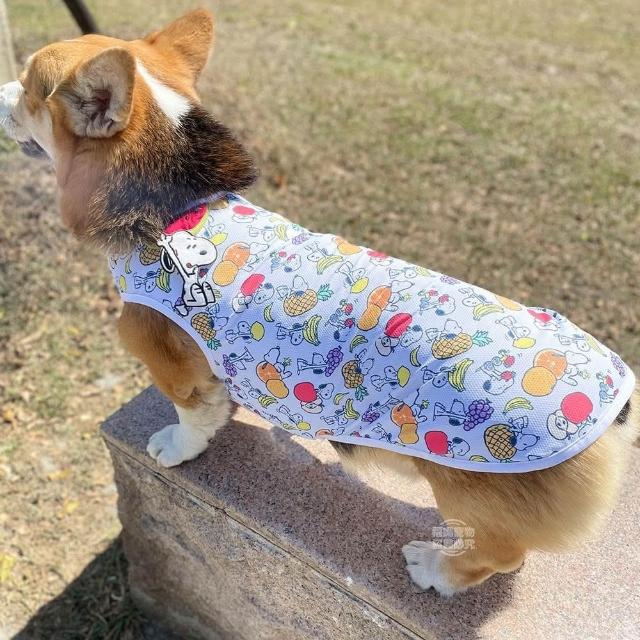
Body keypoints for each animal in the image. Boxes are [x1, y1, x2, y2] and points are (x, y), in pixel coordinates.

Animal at [1, 9, 638, 596]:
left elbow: (191, 416)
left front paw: (176, 447)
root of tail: (615, 407)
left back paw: (435, 569)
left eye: (30, 85)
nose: (1, 88)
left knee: (500, 555)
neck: (173, 210)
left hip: (466, 490)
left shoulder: (170, 363)